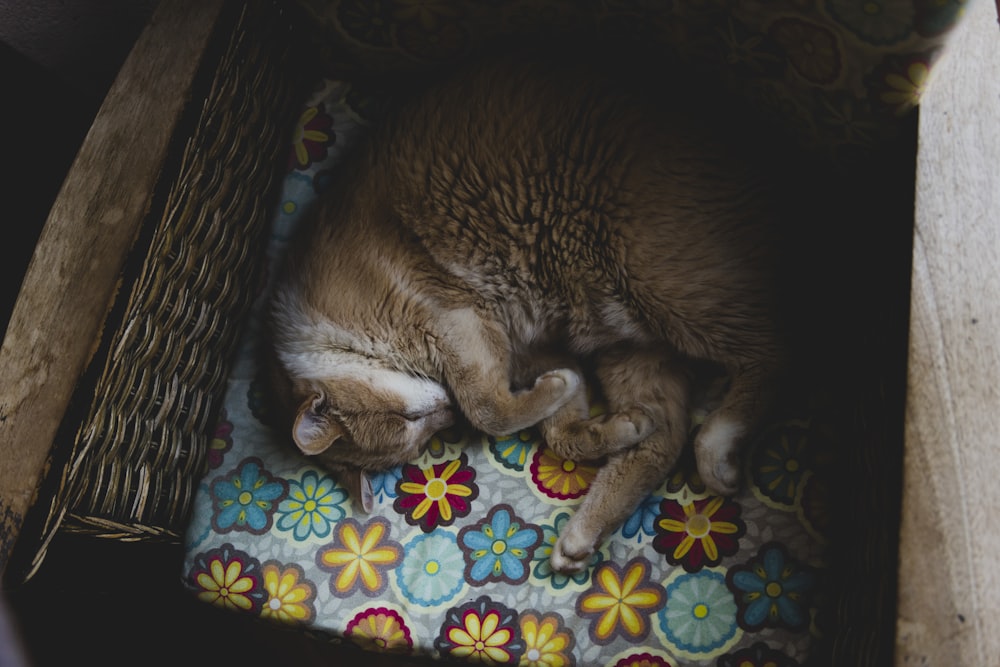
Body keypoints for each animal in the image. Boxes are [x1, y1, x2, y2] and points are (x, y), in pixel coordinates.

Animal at [266, 49, 780, 576]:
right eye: (417, 441)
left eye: (411, 424)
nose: (446, 415)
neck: (335, 329)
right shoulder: (533, 347)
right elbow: (563, 431)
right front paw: (592, 417)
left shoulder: (454, 319)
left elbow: (489, 408)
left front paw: (534, 398)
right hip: (629, 343)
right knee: (666, 434)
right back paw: (584, 532)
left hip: (659, 277)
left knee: (776, 348)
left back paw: (718, 446)